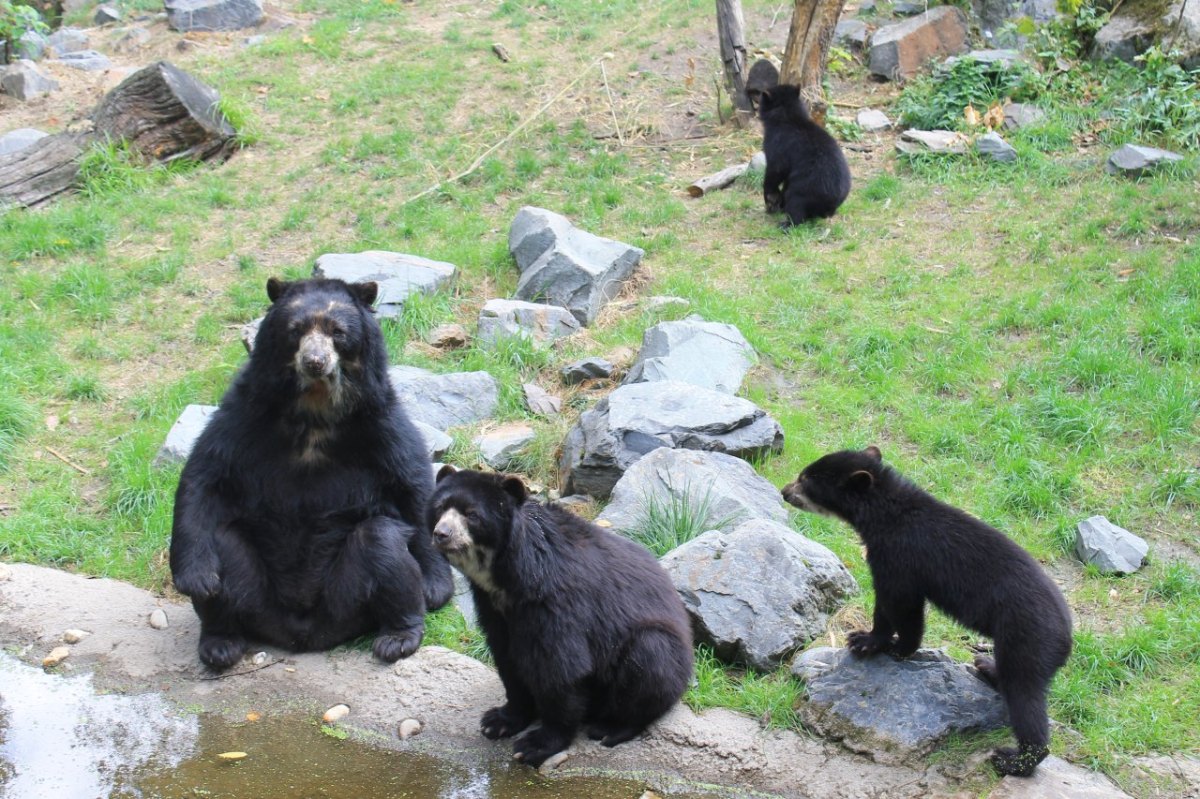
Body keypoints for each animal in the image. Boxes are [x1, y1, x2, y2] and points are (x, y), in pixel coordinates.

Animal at [168, 277, 451, 667]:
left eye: (337, 332)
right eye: (296, 330)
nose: (315, 361)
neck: (315, 409)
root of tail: (303, 634)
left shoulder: (380, 420)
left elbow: (412, 484)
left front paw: (436, 587)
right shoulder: (245, 413)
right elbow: (205, 477)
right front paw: (197, 580)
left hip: (346, 599)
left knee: (383, 543)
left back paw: (398, 637)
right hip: (258, 597)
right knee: (223, 544)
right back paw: (220, 643)